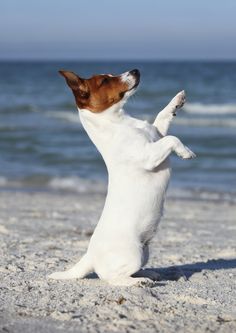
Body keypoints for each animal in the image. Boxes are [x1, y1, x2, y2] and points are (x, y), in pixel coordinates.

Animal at [48, 68, 195, 286]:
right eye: (104, 81)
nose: (135, 70)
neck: (120, 123)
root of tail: (90, 256)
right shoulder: (149, 156)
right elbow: (172, 138)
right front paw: (186, 152)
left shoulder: (157, 134)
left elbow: (162, 118)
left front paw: (177, 101)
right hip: (133, 254)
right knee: (112, 278)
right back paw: (139, 282)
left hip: (144, 252)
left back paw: (149, 274)